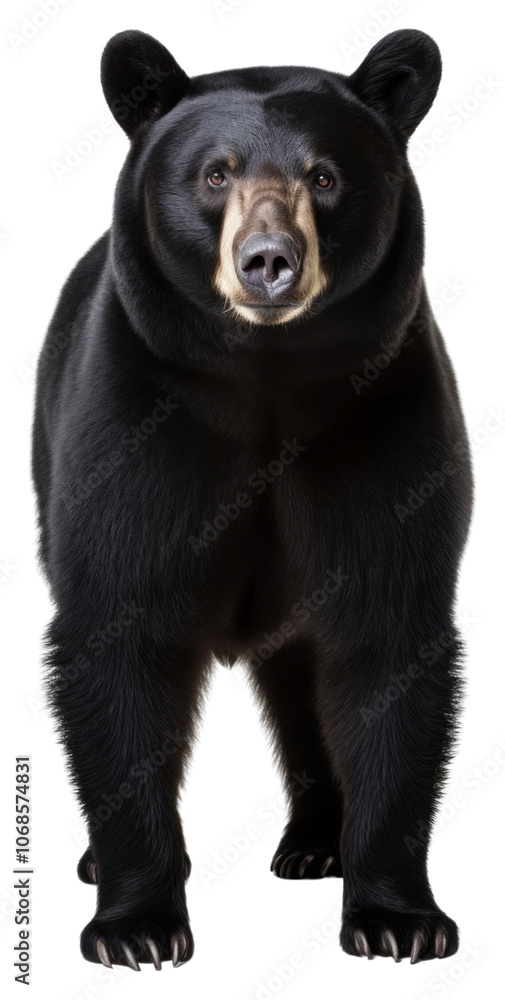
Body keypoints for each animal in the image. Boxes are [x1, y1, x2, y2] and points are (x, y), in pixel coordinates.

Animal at [32, 27, 473, 969]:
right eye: (215, 173)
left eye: (324, 175)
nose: (268, 262)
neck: (268, 383)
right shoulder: (132, 427)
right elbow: (118, 631)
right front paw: (136, 926)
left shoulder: (389, 421)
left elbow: (389, 640)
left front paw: (399, 917)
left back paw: (314, 843)